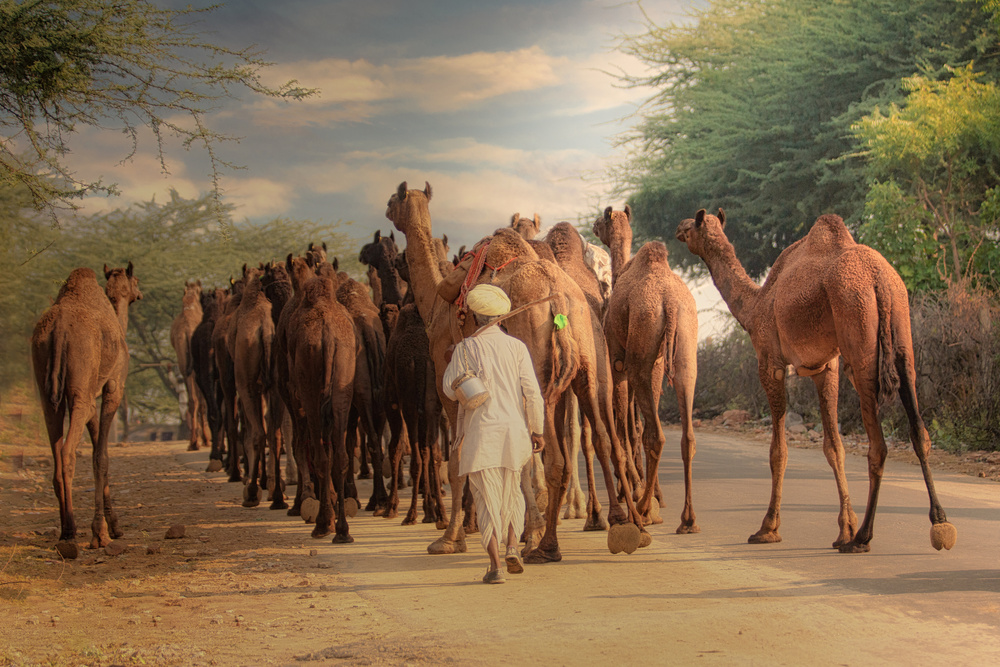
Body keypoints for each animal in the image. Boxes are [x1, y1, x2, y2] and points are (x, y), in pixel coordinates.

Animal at [31, 263, 142, 550]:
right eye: (135, 280)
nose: (140, 293)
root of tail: (59, 327)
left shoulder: (91, 397)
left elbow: (97, 454)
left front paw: (110, 526)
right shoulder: (113, 386)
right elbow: (102, 456)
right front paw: (103, 532)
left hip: (46, 385)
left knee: (56, 449)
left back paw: (65, 531)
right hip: (79, 384)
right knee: (67, 452)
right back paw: (72, 530)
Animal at [386, 182, 644, 562]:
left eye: (393, 199)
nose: (388, 210)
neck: (434, 302)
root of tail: (559, 300)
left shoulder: (449, 374)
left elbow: (458, 456)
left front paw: (451, 538)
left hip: (538, 371)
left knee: (554, 456)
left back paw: (548, 544)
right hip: (588, 361)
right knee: (602, 438)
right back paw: (626, 527)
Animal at [595, 205, 699, 533]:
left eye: (602, 221)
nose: (594, 225)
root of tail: (670, 304)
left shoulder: (618, 364)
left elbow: (625, 427)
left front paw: (634, 492)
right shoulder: (653, 365)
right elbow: (633, 427)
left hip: (641, 352)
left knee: (656, 435)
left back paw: (642, 510)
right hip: (685, 350)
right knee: (686, 435)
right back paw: (687, 519)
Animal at [676, 209, 957, 553]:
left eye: (691, 227)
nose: (678, 229)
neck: (756, 306)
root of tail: (878, 278)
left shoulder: (770, 363)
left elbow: (778, 451)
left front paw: (768, 528)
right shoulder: (825, 367)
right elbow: (834, 446)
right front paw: (844, 528)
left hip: (859, 336)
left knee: (878, 445)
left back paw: (863, 538)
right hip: (902, 331)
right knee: (919, 428)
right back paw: (939, 523)